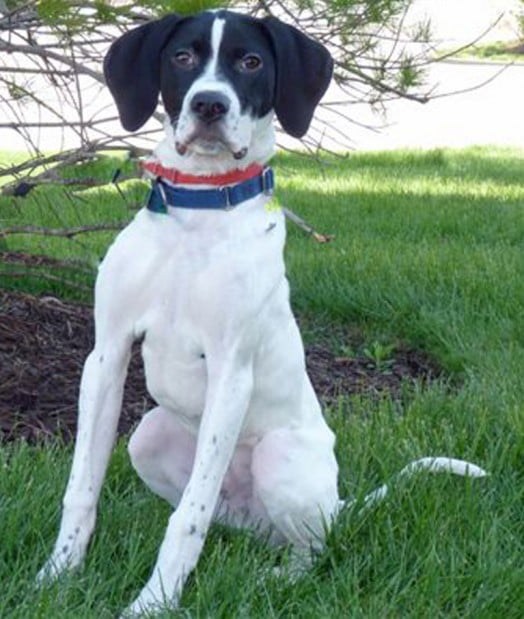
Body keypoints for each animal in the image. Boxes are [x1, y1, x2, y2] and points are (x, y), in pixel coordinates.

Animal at [36, 9, 488, 616]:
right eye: (182, 57)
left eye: (251, 61)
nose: (209, 105)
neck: (199, 217)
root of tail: (339, 503)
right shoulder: (105, 356)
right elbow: (82, 490)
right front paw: (55, 578)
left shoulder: (231, 372)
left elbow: (187, 519)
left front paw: (152, 604)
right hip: (148, 437)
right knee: (228, 520)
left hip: (281, 458)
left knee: (307, 547)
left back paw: (273, 580)